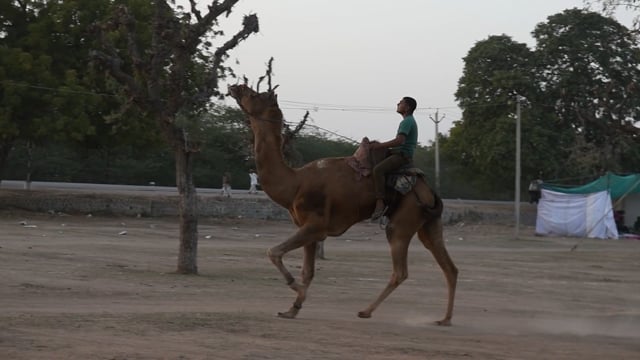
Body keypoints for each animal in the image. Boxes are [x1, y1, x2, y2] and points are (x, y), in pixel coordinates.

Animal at [228, 84, 458, 326]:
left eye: (253, 94)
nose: (235, 87)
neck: (295, 183)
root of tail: (429, 192)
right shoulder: (310, 229)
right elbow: (307, 271)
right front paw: (292, 309)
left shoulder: (315, 225)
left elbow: (273, 252)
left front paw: (295, 288)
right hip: (429, 223)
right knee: (448, 266)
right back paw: (445, 319)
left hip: (403, 220)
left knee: (400, 270)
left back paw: (366, 311)